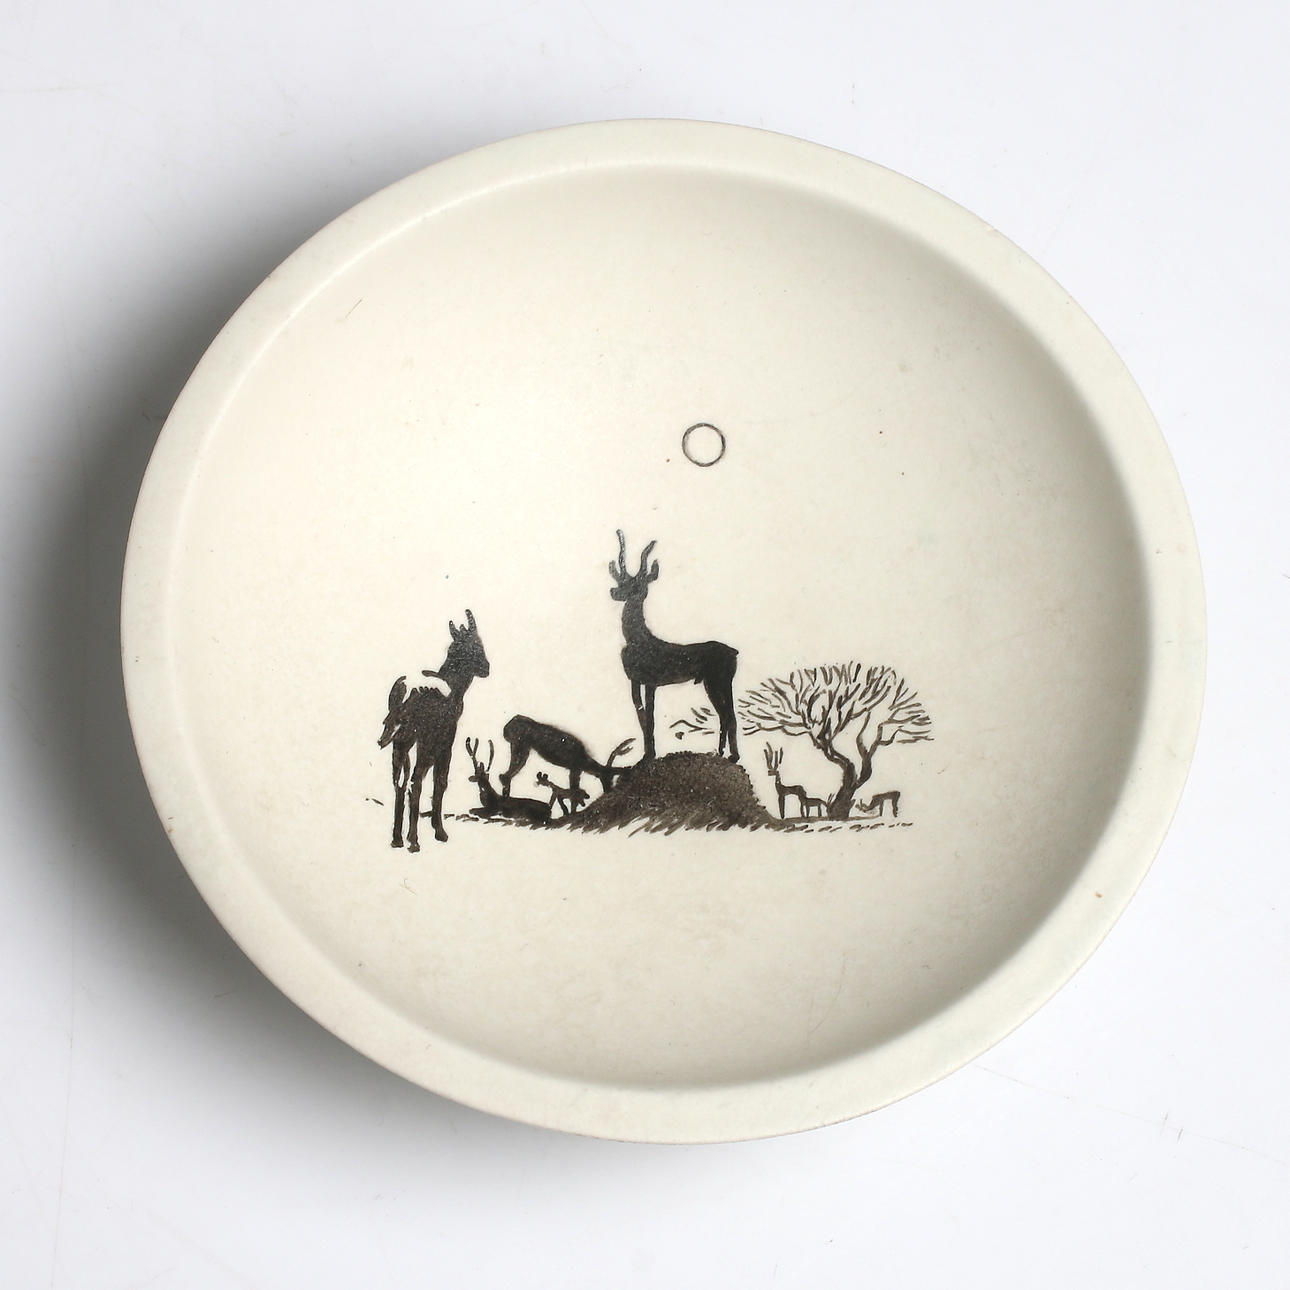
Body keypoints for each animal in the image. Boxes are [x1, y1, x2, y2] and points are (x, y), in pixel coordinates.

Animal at [378, 610, 488, 850]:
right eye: (476, 643)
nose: (486, 668)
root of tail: (404, 697)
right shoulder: (445, 744)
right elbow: (441, 781)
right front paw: (439, 831)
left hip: (399, 742)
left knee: (399, 783)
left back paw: (397, 839)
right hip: (421, 743)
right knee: (415, 781)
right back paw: (414, 841)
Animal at [608, 530, 739, 762]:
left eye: (637, 586)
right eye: (623, 582)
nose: (613, 592)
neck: (636, 640)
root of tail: (734, 652)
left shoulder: (651, 681)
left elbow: (650, 717)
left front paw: (649, 755)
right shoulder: (634, 680)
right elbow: (641, 715)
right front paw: (646, 755)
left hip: (716, 681)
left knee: (728, 715)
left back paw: (730, 756)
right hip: (720, 683)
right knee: (727, 714)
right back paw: (723, 753)